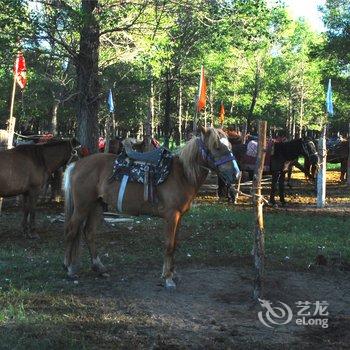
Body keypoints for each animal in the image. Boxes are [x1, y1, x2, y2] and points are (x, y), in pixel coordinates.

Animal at [63, 127, 241, 288]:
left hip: (97, 205)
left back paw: (99, 267)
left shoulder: (179, 217)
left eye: (230, 146)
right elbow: (169, 245)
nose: (236, 175)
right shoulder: (171, 216)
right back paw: (69, 269)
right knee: (71, 231)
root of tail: (76, 165)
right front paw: (168, 278)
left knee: (89, 233)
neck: (182, 174)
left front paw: (172, 273)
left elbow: (175, 244)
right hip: (82, 206)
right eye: (217, 147)